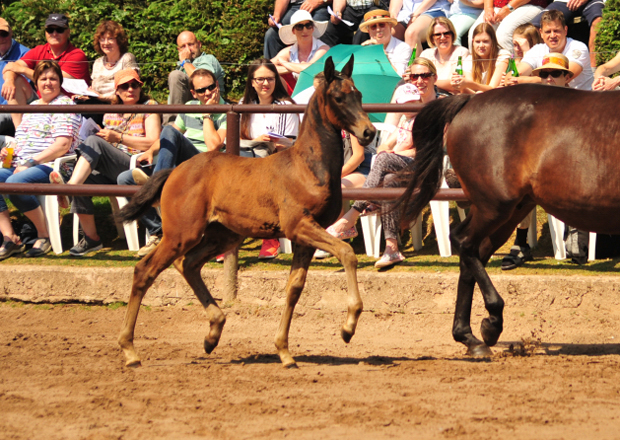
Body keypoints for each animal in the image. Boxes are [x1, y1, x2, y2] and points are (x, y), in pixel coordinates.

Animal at [117, 56, 378, 370]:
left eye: (359, 95)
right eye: (339, 98)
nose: (369, 132)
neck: (307, 166)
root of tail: (175, 171)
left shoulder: (303, 238)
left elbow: (294, 288)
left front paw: (284, 352)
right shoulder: (300, 226)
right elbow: (347, 253)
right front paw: (348, 327)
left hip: (223, 236)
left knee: (188, 264)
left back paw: (213, 334)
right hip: (182, 234)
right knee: (145, 271)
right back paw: (130, 350)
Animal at [400, 84, 616, 356]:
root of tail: (469, 100)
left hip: (511, 209)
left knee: (472, 253)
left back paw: (469, 337)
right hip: (496, 206)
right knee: (463, 241)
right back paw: (491, 324)